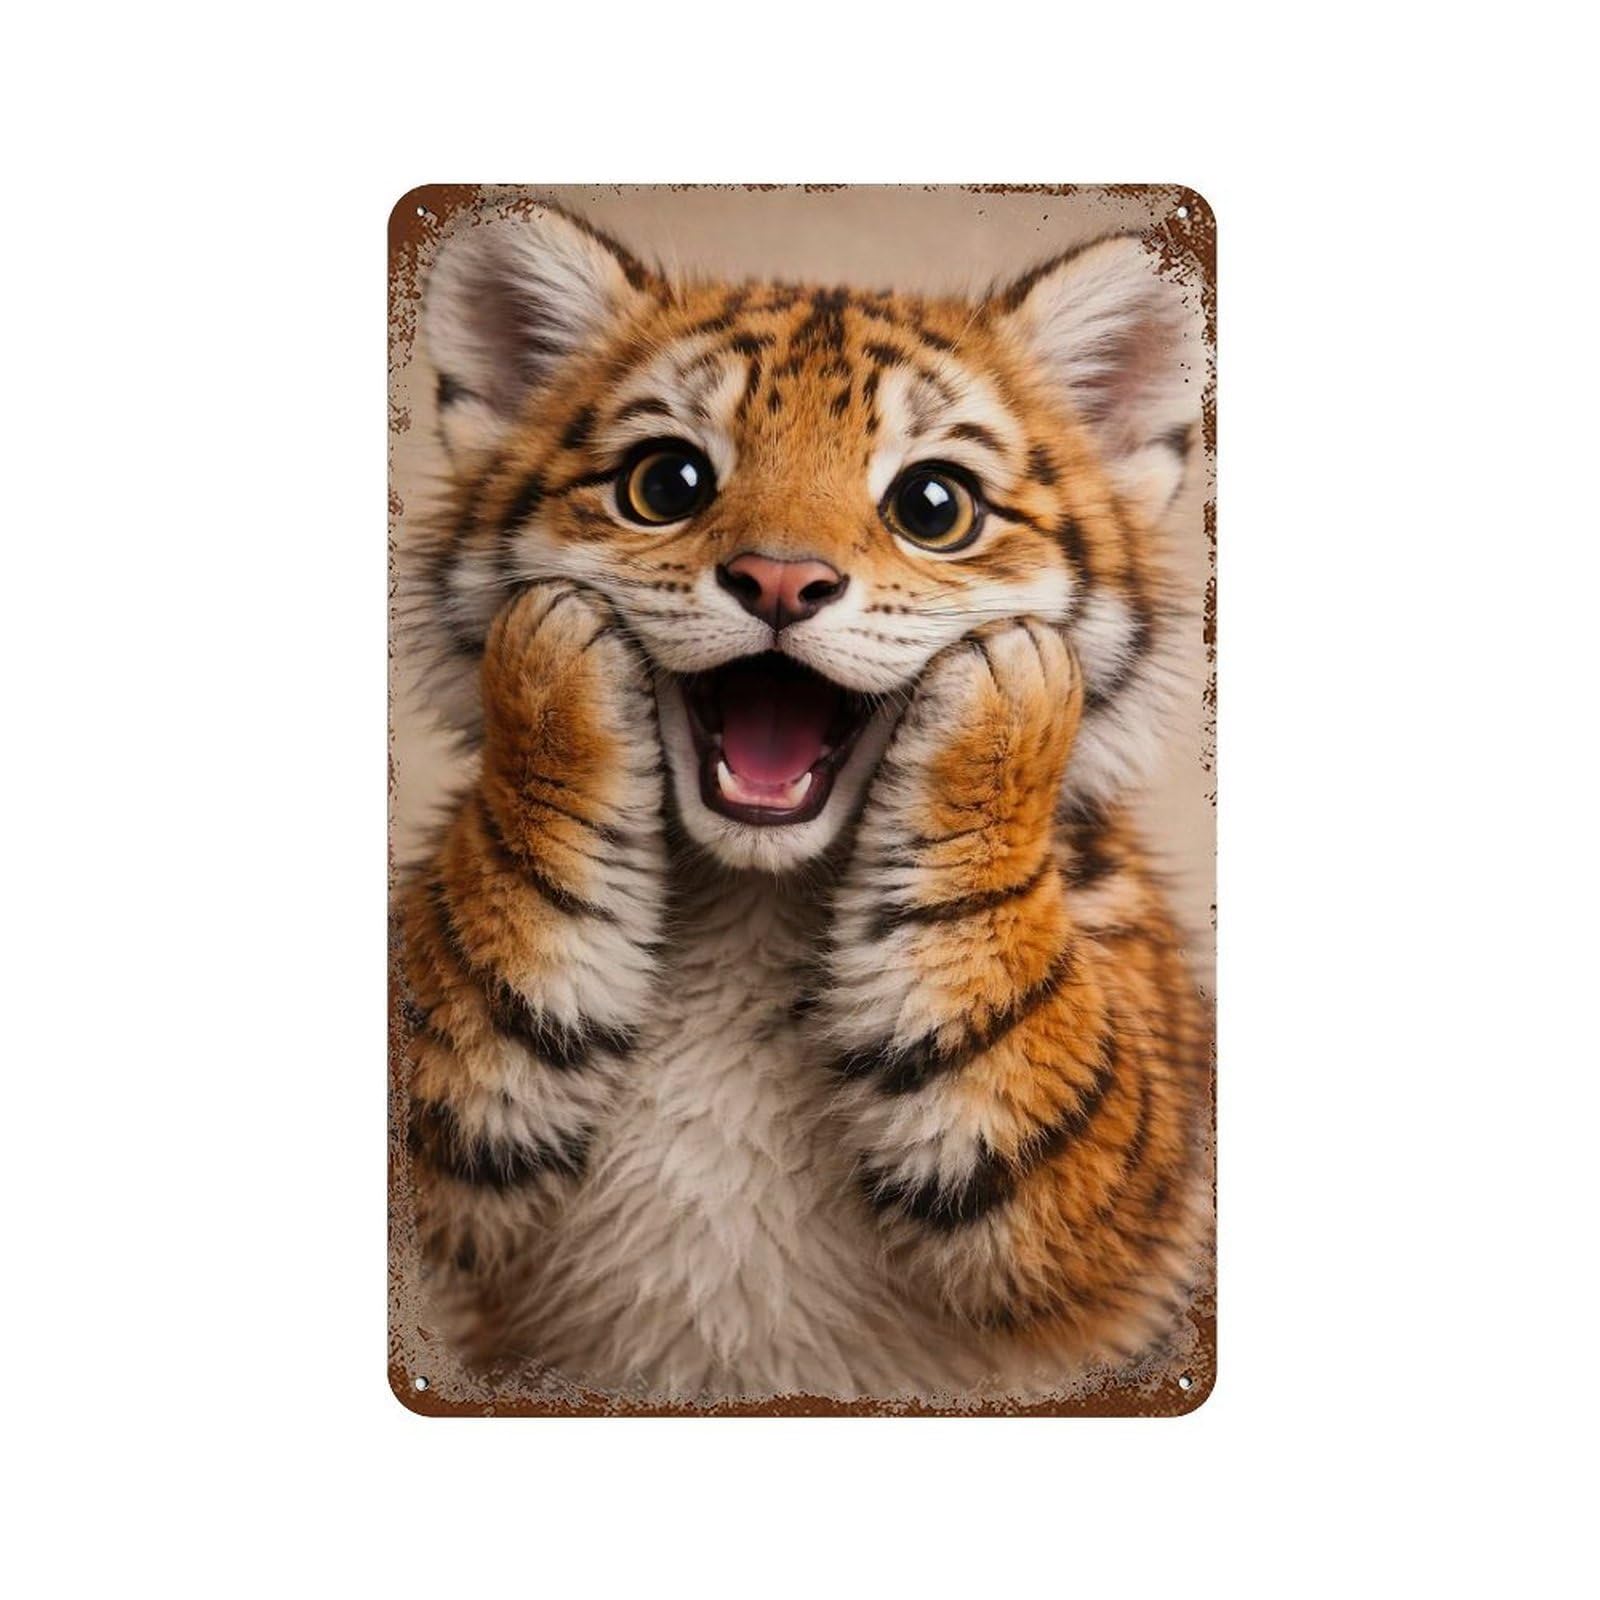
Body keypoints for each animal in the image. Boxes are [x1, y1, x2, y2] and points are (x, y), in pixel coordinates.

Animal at [394, 197, 1212, 1404]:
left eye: (934, 506)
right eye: (667, 485)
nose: (781, 581)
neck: (752, 905)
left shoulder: (1110, 1189)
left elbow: (1011, 1018)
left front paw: (1009, 686)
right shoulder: (448, 1135)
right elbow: (487, 937)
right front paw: (552, 649)